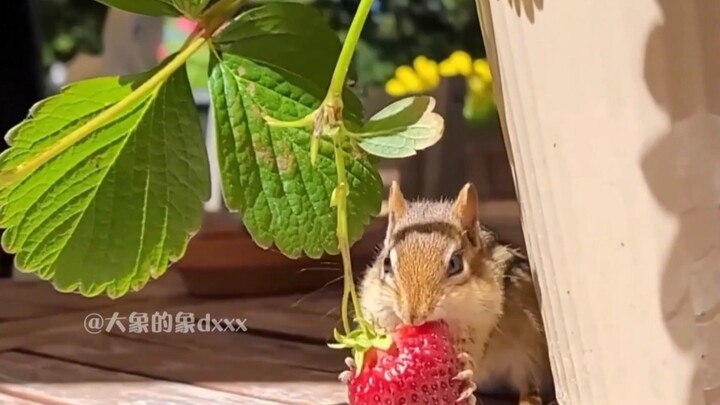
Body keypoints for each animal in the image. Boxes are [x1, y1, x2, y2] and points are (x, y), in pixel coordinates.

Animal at [341, 181, 554, 405]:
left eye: (455, 264)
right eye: (387, 263)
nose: (413, 317)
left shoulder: (480, 322)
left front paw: (467, 382)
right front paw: (351, 367)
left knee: (529, 385)